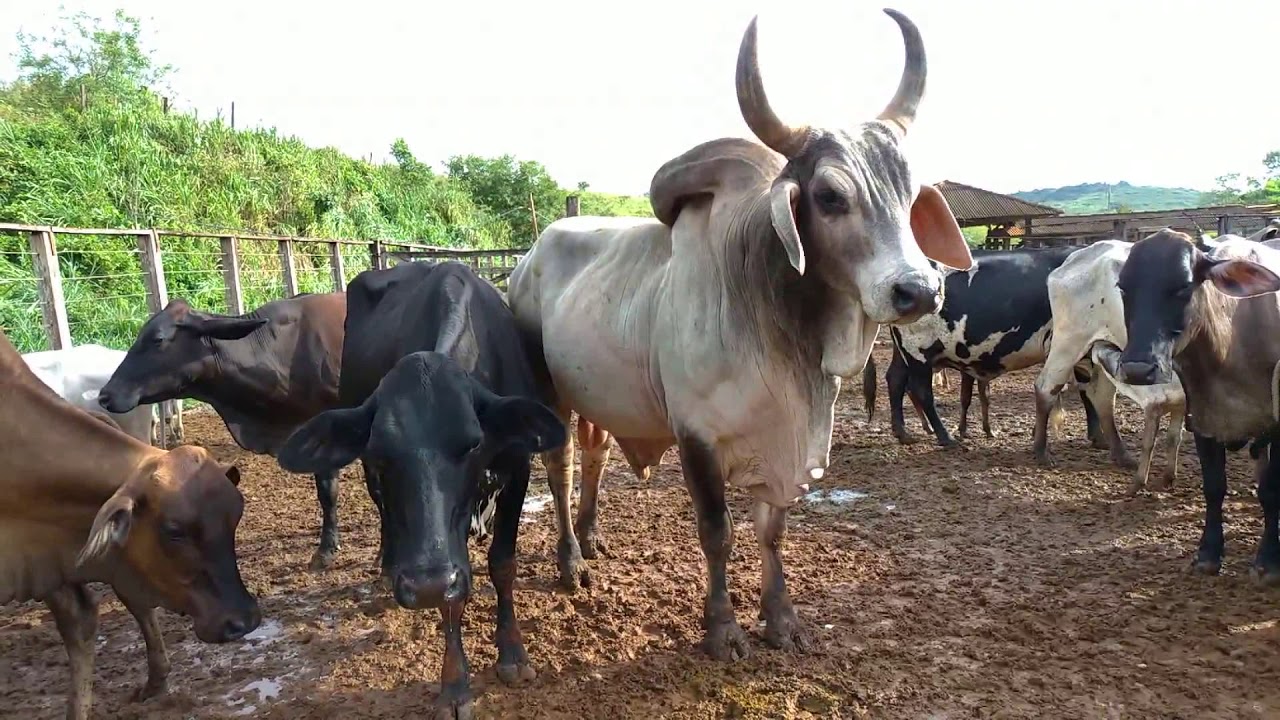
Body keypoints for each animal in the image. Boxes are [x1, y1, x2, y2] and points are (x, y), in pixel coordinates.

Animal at [277, 261, 566, 718]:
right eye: (381, 450)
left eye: (473, 442)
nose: (425, 583)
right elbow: (450, 597)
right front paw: (454, 686)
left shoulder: (518, 467)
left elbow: (502, 563)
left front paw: (513, 654)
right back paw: (386, 567)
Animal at [507, 9, 974, 660]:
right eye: (830, 196)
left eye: (909, 196)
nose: (919, 290)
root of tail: (529, 256)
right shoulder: (697, 437)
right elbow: (717, 532)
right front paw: (723, 629)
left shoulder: (790, 446)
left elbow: (771, 531)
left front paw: (781, 619)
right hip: (550, 393)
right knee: (562, 465)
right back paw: (571, 561)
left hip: (598, 395)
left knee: (595, 457)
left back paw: (592, 537)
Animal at [1030, 240, 1187, 493]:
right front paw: (1141, 482)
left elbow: (1174, 437)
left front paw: (1168, 478)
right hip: (1068, 343)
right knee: (1047, 387)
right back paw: (1042, 452)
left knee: (1102, 398)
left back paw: (1121, 455)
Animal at [1114, 229, 1280, 582]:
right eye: (1124, 287)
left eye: (1183, 286)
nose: (1137, 368)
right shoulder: (1203, 419)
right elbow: (1214, 488)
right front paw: (1208, 553)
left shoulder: (1277, 426)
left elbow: (1272, 490)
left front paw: (1269, 560)